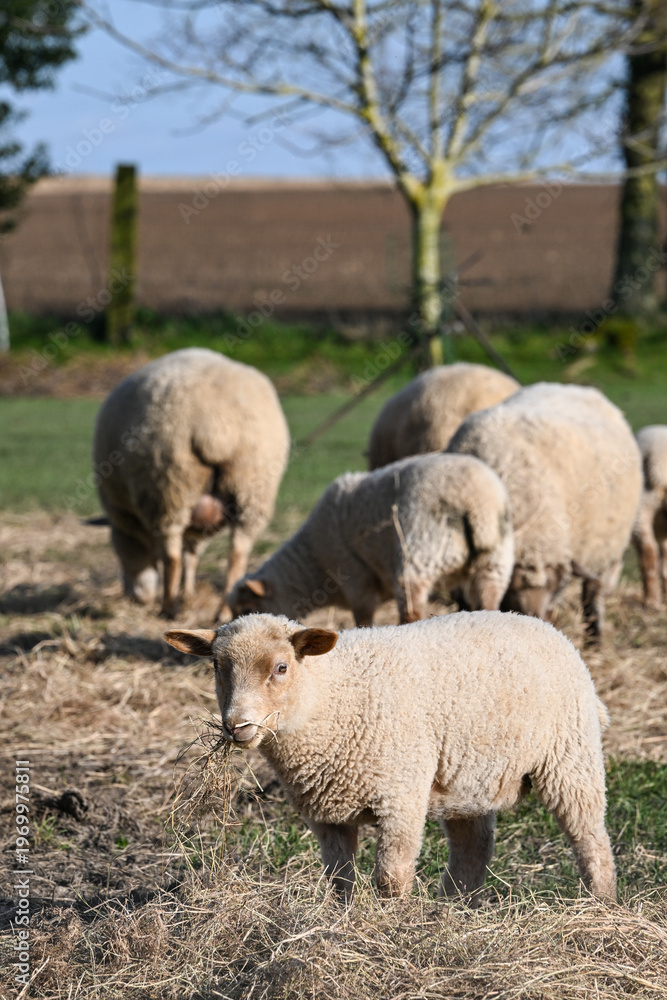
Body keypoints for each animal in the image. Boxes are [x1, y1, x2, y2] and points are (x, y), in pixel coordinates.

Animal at [93, 348, 290, 617]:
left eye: (117, 549)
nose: (133, 597)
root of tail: (217, 426)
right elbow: (192, 554)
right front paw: (188, 592)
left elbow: (177, 555)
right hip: (252, 487)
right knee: (237, 554)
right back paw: (222, 611)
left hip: (168, 483)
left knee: (172, 554)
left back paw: (168, 608)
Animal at [165, 611, 617, 903]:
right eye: (217, 667)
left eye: (280, 668)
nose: (236, 726)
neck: (332, 696)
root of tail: (545, 625)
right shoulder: (326, 814)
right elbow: (339, 881)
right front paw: (343, 921)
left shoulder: (399, 796)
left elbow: (390, 878)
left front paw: (390, 924)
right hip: (468, 779)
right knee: (472, 849)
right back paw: (451, 910)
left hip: (570, 756)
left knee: (590, 839)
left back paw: (602, 903)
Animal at [227, 453, 514, 626]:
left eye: (246, 608)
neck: (313, 564)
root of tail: (477, 501)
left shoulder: (355, 577)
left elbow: (362, 617)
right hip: (496, 562)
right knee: (489, 602)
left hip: (418, 555)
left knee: (412, 610)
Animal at [447, 382, 642, 639]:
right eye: (510, 588)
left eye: (559, 586)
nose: (537, 621)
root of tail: (575, 387)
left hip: (603, 546)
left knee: (593, 593)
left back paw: (595, 637)